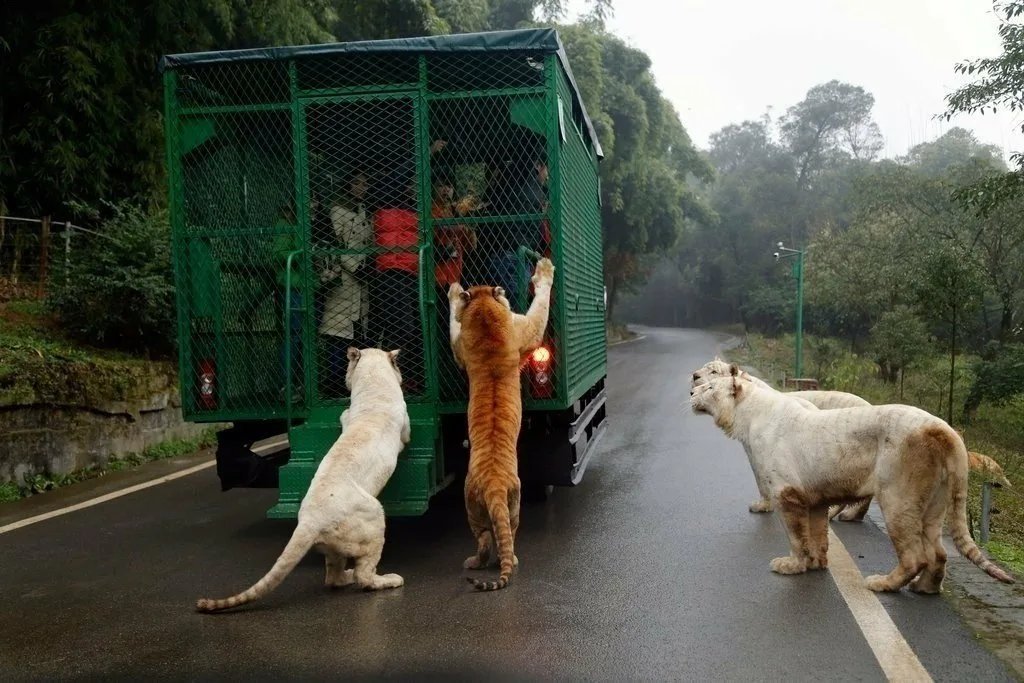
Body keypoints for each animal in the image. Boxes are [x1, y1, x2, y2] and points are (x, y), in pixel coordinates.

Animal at [448, 259, 557, 589]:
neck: (485, 315)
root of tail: (494, 485)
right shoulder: (528, 331)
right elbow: (540, 306)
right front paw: (545, 269)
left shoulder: (463, 349)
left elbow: (454, 324)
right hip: (505, 506)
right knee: (497, 538)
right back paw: (490, 561)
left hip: (478, 507)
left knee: (488, 539)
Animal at [688, 368, 1015, 593]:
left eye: (710, 384)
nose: (690, 393)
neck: (746, 414)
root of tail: (942, 428)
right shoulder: (814, 498)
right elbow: (817, 534)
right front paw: (816, 563)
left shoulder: (787, 494)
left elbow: (796, 535)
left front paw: (791, 565)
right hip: (935, 503)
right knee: (939, 553)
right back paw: (925, 589)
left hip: (898, 498)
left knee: (915, 556)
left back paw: (883, 584)